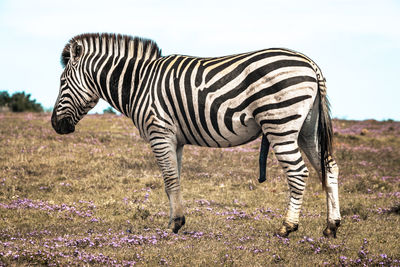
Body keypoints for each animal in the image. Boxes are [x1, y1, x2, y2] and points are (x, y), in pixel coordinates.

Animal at [50, 33, 340, 239]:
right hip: (307, 129)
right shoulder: (174, 139)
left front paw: (174, 225)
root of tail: (310, 64)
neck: (139, 82)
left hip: (280, 123)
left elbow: (169, 179)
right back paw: (332, 226)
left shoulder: (159, 132)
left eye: (62, 83)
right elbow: (174, 180)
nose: (55, 125)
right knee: (329, 168)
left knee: (298, 172)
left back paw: (287, 226)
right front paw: (175, 220)